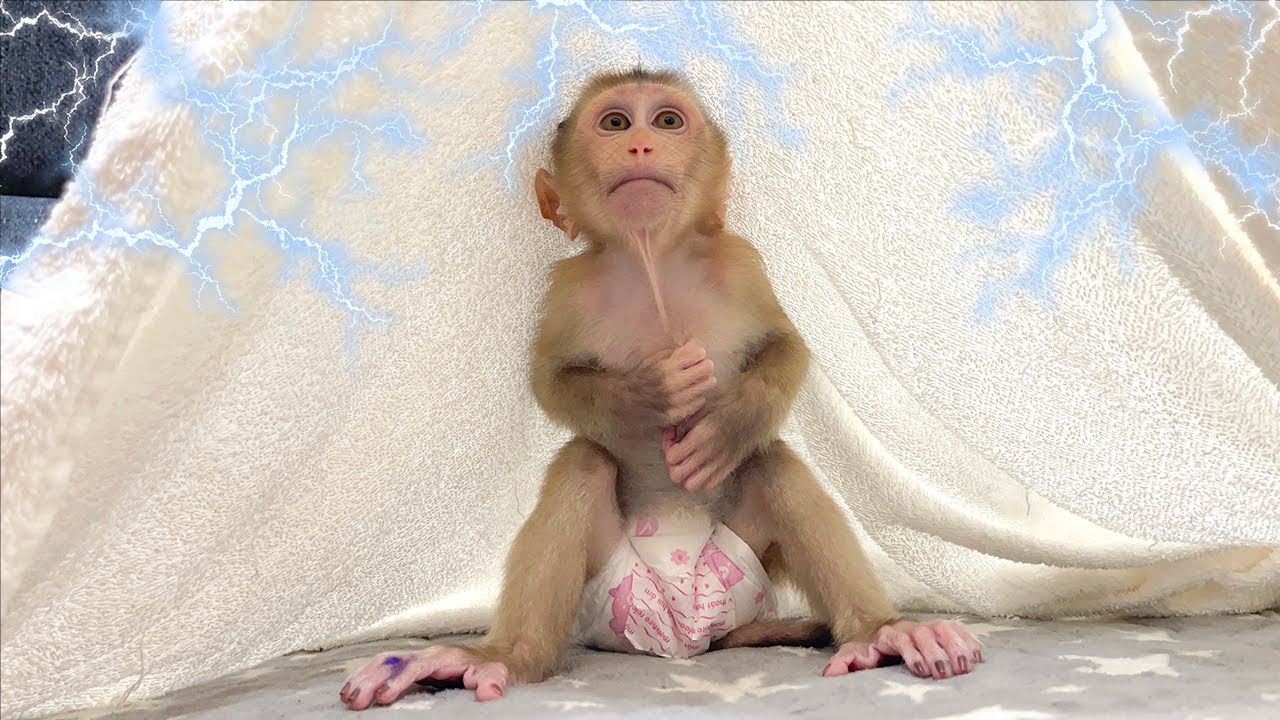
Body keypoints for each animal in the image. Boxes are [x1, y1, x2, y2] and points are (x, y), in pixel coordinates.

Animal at [338, 68, 982, 711]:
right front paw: (650, 395)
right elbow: (551, 379)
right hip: (610, 600)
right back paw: (501, 657)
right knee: (582, 462)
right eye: (615, 122)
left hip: (739, 578)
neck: (653, 266)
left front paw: (727, 425)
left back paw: (882, 631)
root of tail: (687, 642)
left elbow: (784, 345)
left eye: (668, 121)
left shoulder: (741, 262)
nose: (642, 145)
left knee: (770, 461)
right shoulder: (569, 287)